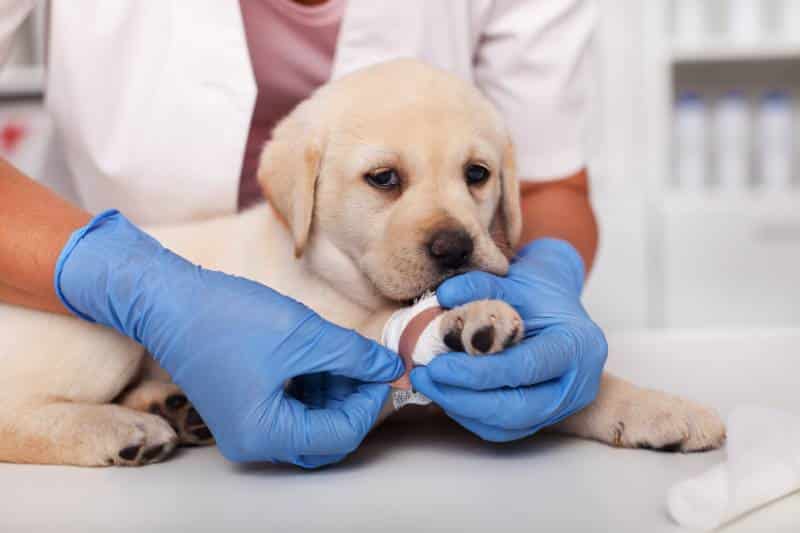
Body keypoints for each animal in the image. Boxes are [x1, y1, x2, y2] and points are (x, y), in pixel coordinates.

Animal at [0, 59, 724, 466]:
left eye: (478, 173)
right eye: (384, 179)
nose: (454, 248)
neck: (338, 275)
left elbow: (582, 387)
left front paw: (656, 409)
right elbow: (389, 340)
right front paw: (469, 318)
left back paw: (175, 406)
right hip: (98, 327)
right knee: (13, 419)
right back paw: (119, 428)